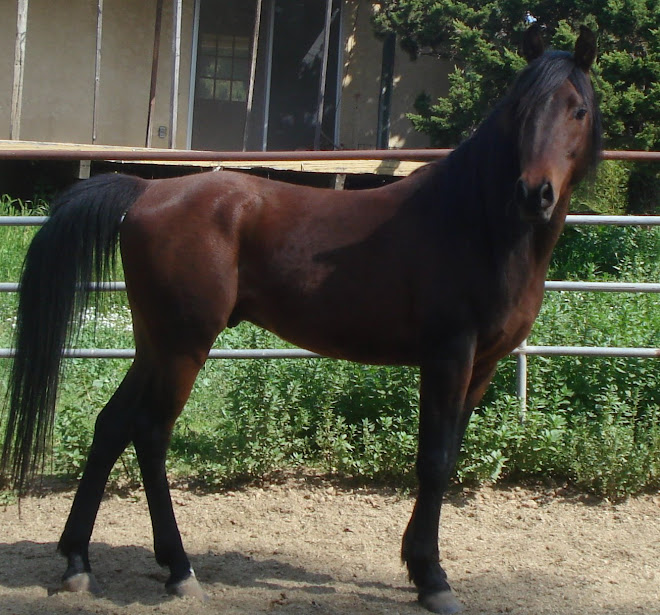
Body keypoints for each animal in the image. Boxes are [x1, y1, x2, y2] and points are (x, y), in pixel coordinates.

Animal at [1, 25, 600, 614]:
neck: (477, 222)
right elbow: (432, 460)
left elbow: (449, 455)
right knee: (150, 432)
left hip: (155, 343)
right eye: (522, 110)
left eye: (577, 110)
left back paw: (78, 562)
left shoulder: (484, 365)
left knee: (111, 426)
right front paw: (433, 579)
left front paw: (417, 564)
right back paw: (179, 570)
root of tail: (149, 188)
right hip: (183, 348)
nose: (534, 192)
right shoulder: (448, 356)